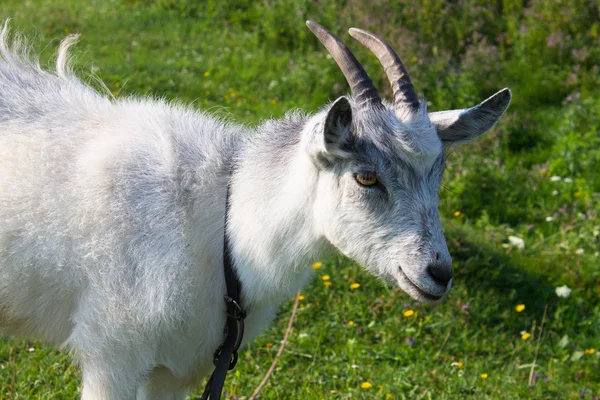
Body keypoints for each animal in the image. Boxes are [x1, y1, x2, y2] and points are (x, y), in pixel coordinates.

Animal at [0, 20, 510, 398]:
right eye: (366, 177)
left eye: (437, 174)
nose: (438, 273)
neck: (219, 226)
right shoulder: (113, 354)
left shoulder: (174, 370)